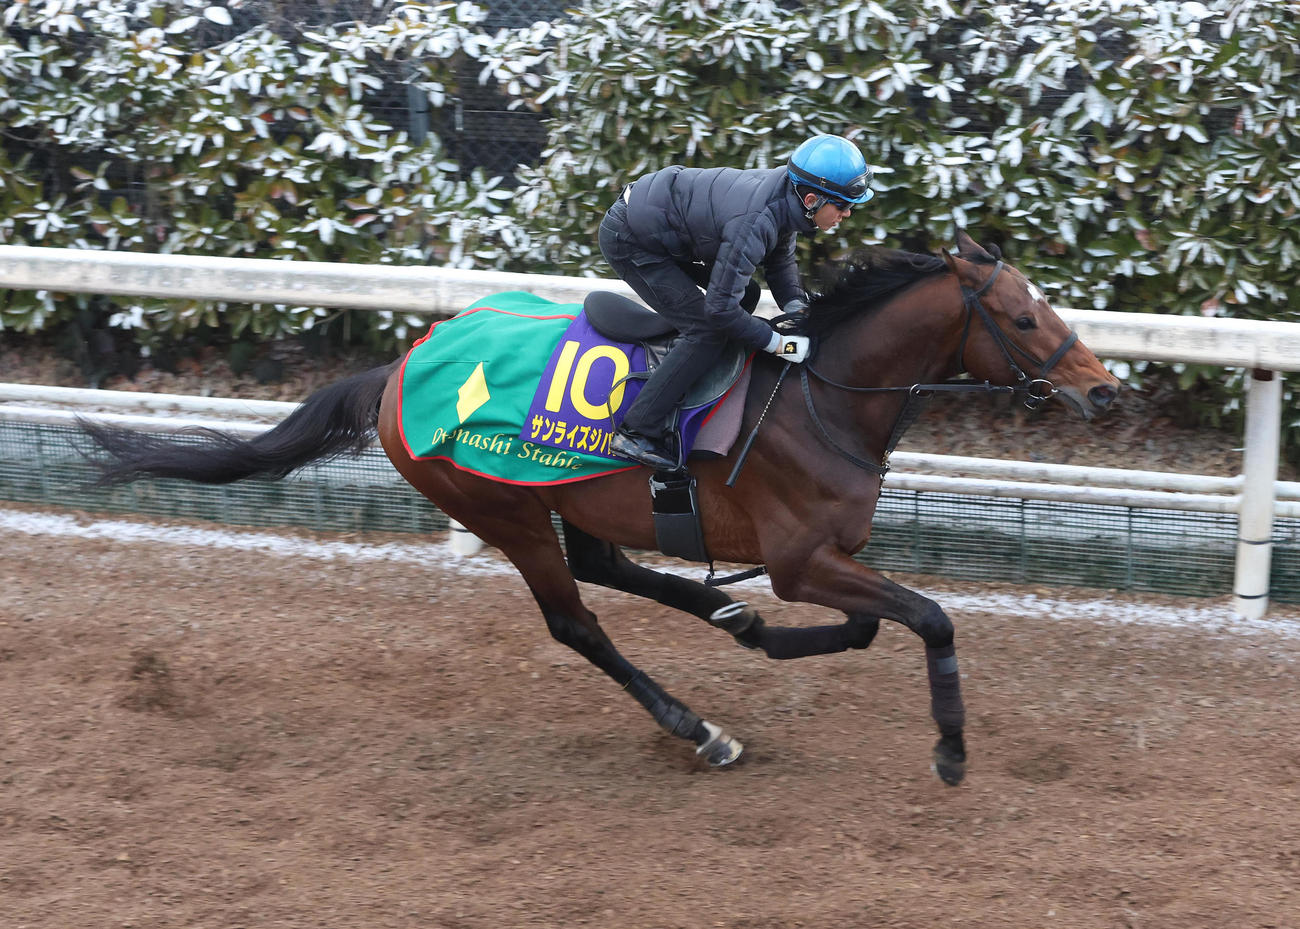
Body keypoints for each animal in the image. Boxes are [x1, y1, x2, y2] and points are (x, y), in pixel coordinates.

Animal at [79, 231, 1119, 785]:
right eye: (1022, 318)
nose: (1105, 391)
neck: (821, 393)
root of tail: (400, 368)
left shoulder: (821, 560)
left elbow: (869, 625)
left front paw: (760, 630)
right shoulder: (801, 560)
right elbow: (928, 618)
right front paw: (951, 749)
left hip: (563, 493)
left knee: (606, 565)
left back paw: (728, 616)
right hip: (495, 507)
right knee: (575, 618)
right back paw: (700, 726)